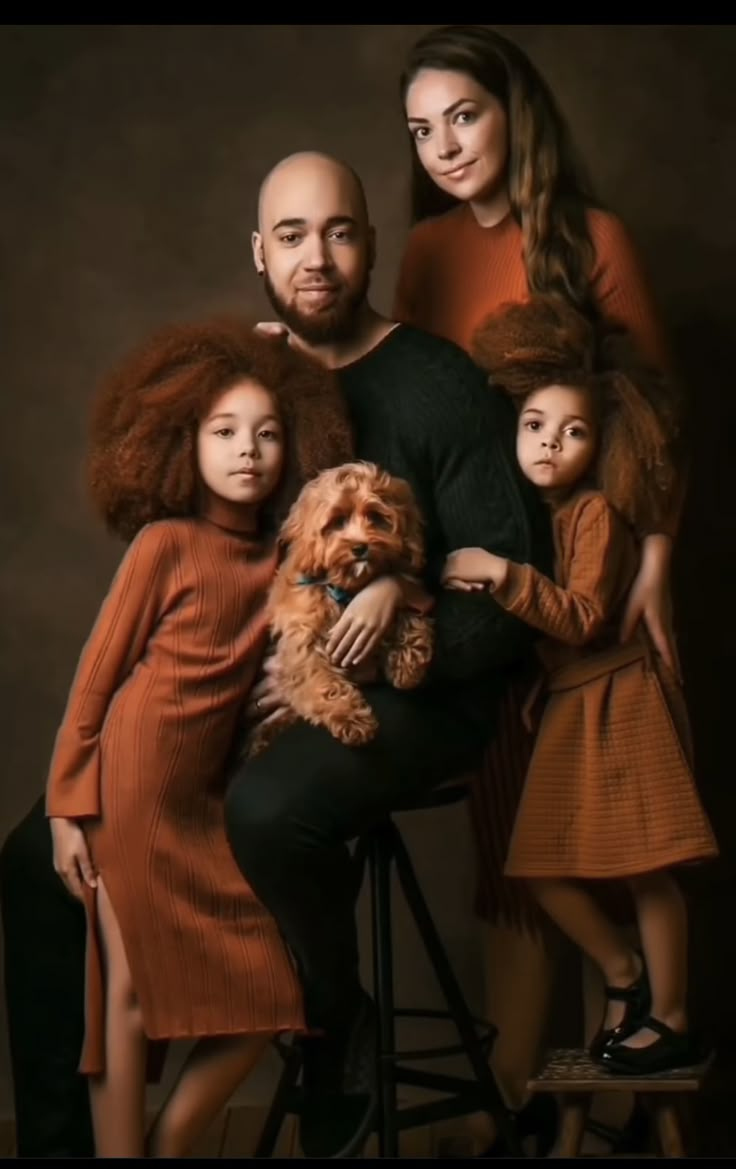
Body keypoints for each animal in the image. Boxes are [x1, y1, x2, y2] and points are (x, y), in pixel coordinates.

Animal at [250, 460, 432, 752]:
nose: (360, 547)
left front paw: (407, 664)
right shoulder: (302, 643)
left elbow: (408, 609)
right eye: (338, 522)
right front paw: (351, 719)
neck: (346, 591)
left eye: (376, 517)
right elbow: (322, 683)